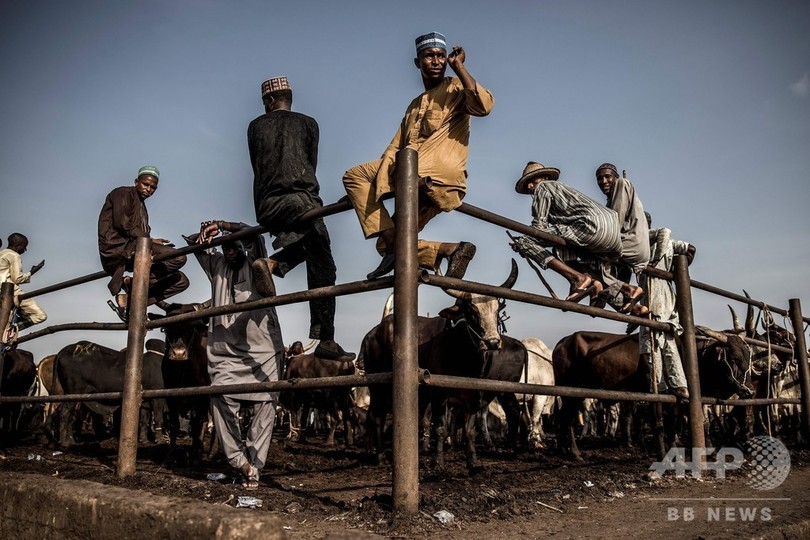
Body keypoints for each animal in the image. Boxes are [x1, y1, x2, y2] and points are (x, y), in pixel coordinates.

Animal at [356, 260, 520, 470]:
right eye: (471, 311)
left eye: (496, 310)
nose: (492, 342)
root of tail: (374, 333)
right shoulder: (439, 395)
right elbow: (440, 428)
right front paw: (438, 462)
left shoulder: (473, 397)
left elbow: (469, 430)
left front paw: (473, 461)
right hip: (377, 386)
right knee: (376, 416)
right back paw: (381, 457)